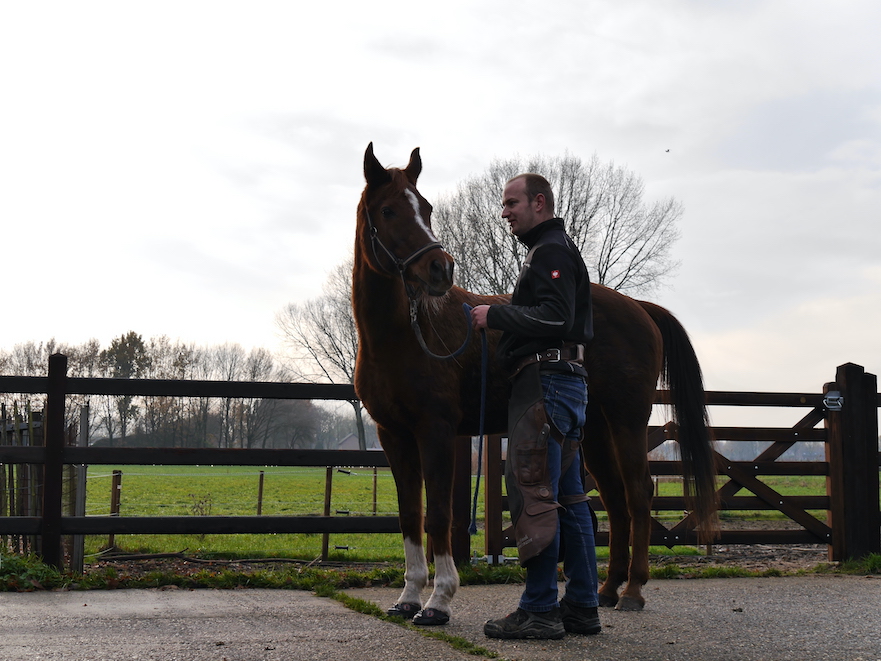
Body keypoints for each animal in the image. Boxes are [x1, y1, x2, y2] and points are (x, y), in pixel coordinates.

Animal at [350, 142, 716, 620]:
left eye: (425, 208)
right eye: (389, 210)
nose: (439, 269)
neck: (407, 334)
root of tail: (639, 307)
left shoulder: (436, 431)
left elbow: (439, 515)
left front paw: (439, 599)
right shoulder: (393, 434)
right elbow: (410, 515)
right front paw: (408, 596)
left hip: (628, 420)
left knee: (639, 494)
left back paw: (633, 590)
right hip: (594, 430)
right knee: (615, 500)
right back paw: (606, 589)